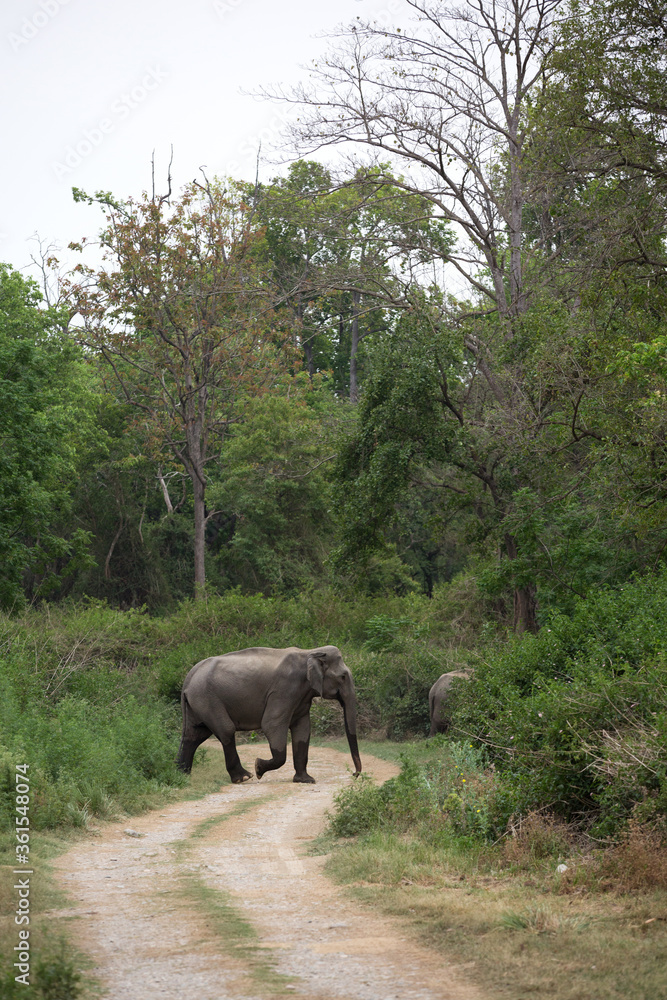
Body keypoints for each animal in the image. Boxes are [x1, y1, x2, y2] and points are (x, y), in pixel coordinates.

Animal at [177, 645, 362, 784]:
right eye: (343, 677)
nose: (354, 774)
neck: (310, 652)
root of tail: (188, 678)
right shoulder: (284, 690)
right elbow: (271, 725)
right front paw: (258, 767)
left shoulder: (301, 696)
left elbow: (302, 730)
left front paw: (306, 780)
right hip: (207, 699)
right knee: (225, 730)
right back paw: (245, 777)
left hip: (197, 704)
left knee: (194, 735)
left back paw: (183, 776)